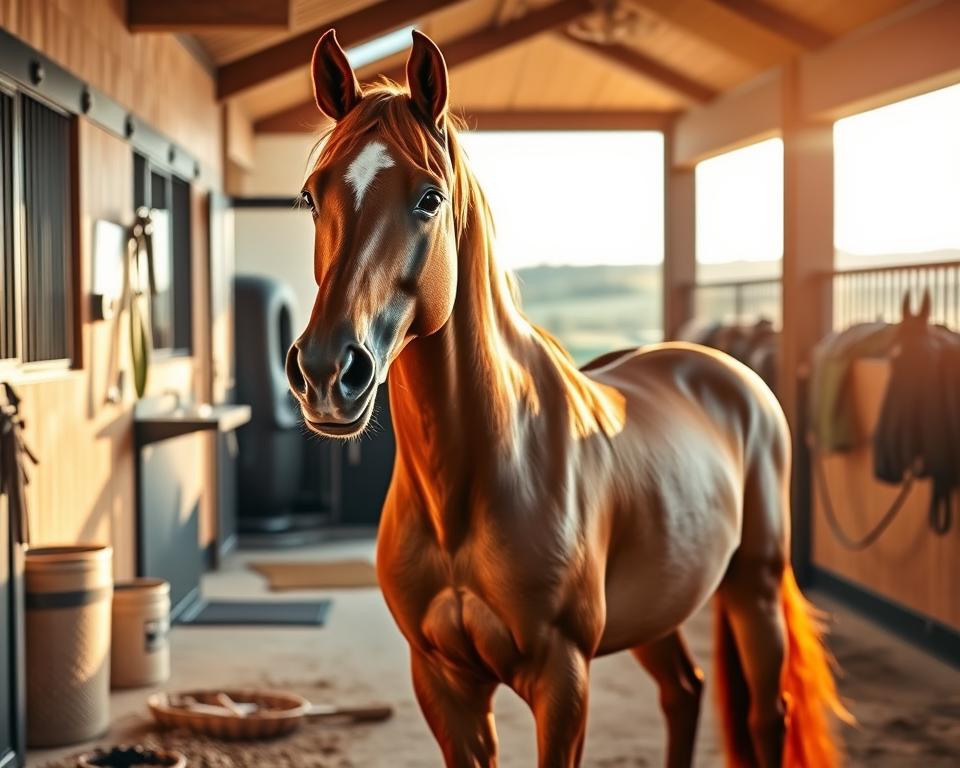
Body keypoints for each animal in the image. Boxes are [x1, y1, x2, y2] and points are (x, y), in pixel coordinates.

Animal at [285, 29, 848, 767]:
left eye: (430, 198)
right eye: (311, 196)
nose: (327, 371)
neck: (477, 480)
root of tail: (732, 374)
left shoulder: (562, 678)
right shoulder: (443, 684)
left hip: (752, 589)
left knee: (766, 715)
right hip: (659, 608)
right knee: (685, 691)